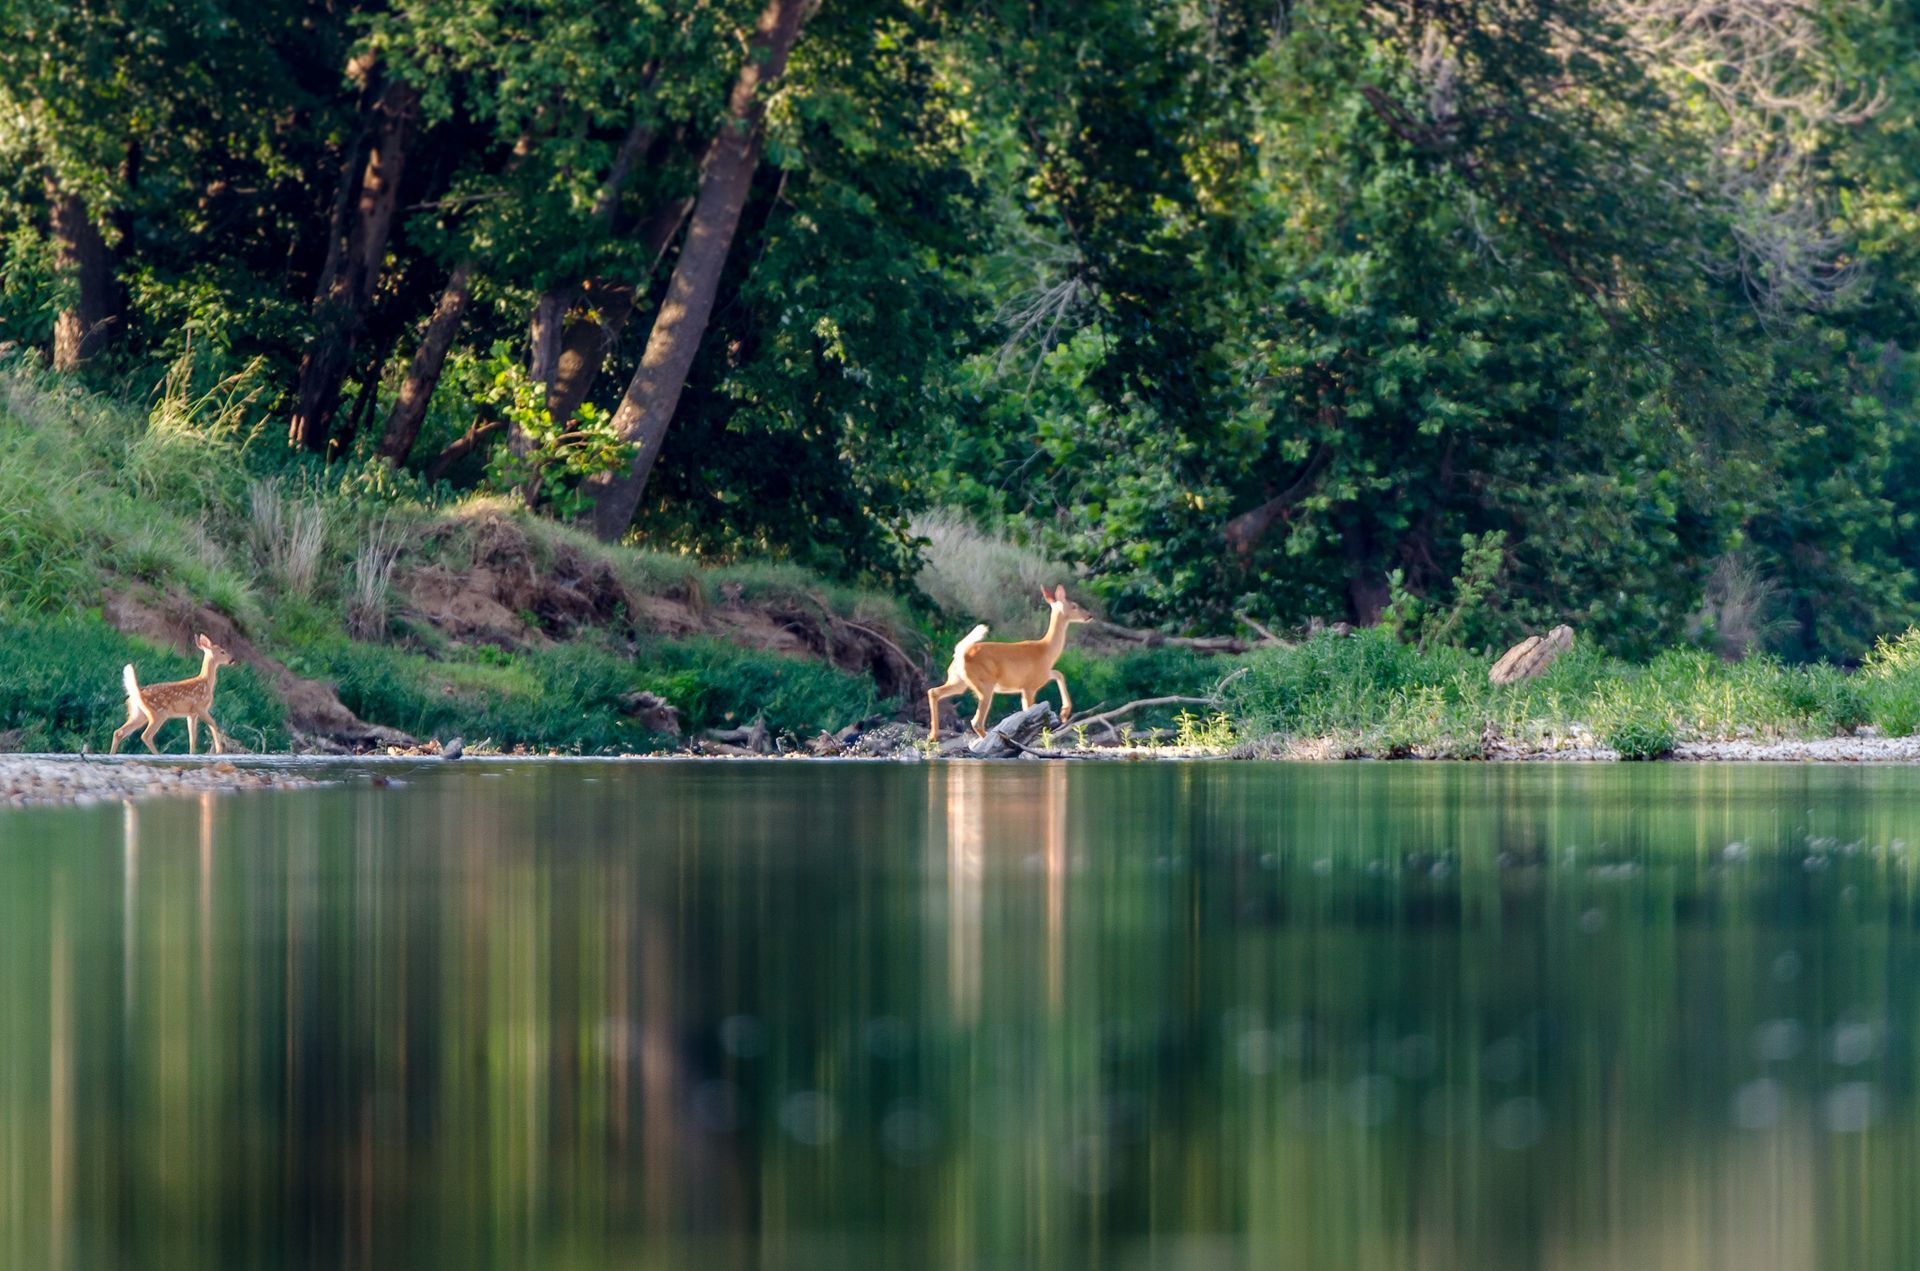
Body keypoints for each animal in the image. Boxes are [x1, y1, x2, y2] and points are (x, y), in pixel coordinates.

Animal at [927, 584, 1095, 741]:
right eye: (1074, 605)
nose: (1090, 615)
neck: (1046, 650)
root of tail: (961, 654)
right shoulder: (1030, 685)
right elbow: (1029, 710)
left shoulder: (1041, 676)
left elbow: (1059, 674)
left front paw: (1065, 712)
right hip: (985, 683)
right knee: (976, 721)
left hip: (958, 681)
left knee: (933, 691)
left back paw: (933, 736)